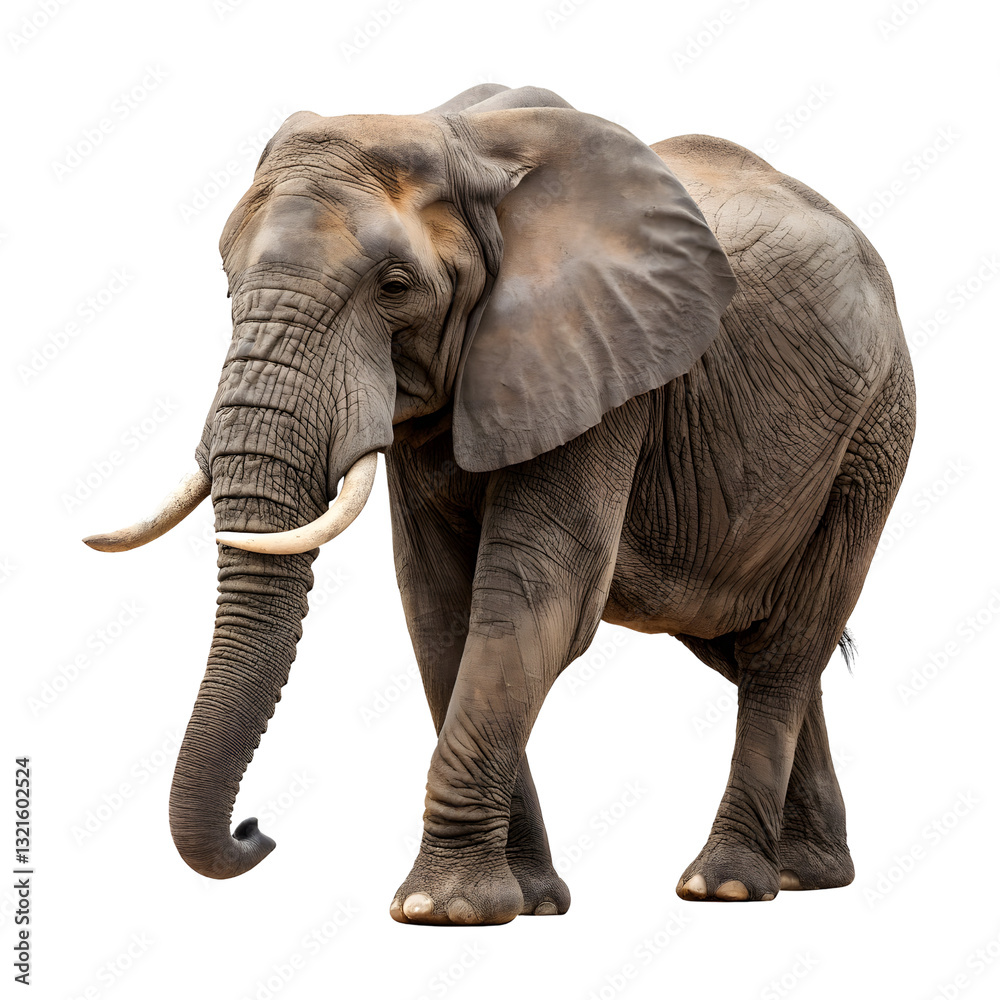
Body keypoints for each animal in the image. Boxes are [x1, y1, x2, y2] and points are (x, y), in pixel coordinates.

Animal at [84, 83, 916, 924]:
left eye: (394, 287)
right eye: (227, 282)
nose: (256, 830)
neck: (464, 141)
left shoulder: (603, 365)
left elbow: (535, 596)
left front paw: (439, 908)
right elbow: (439, 609)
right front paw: (533, 900)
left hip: (874, 436)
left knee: (784, 648)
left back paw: (728, 883)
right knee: (746, 642)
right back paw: (809, 873)